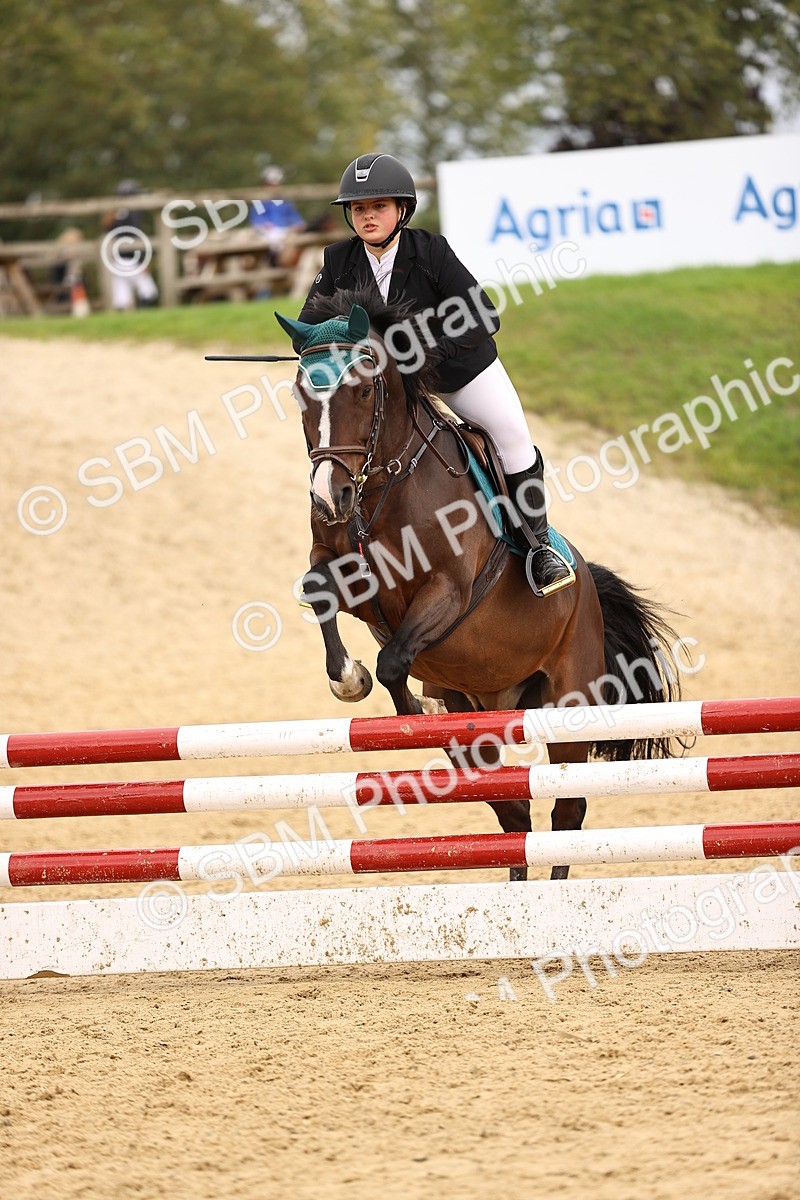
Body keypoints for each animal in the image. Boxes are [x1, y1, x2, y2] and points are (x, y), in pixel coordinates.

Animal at [277, 289, 684, 881]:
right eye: (301, 394)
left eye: (363, 389)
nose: (330, 498)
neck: (383, 484)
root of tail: (588, 585)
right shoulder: (351, 575)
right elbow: (318, 589)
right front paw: (349, 680)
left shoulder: (447, 592)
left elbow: (393, 662)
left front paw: (409, 710)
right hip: (479, 713)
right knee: (515, 813)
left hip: (570, 700)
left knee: (567, 810)